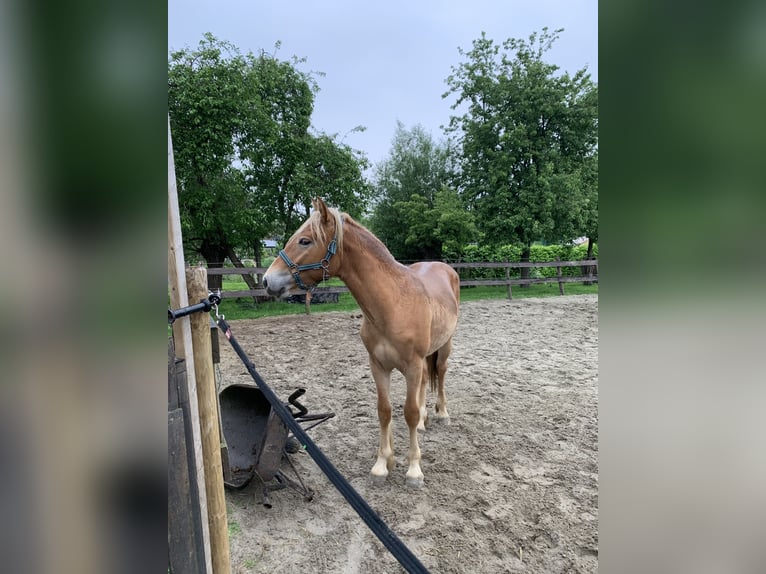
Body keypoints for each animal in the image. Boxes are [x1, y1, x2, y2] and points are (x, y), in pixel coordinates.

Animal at [262, 199, 462, 490]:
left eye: (305, 241)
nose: (267, 281)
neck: (393, 304)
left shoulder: (411, 366)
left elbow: (409, 413)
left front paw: (414, 470)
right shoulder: (378, 366)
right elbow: (385, 411)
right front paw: (382, 464)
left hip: (444, 346)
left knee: (442, 374)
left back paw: (442, 414)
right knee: (427, 380)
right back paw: (426, 422)